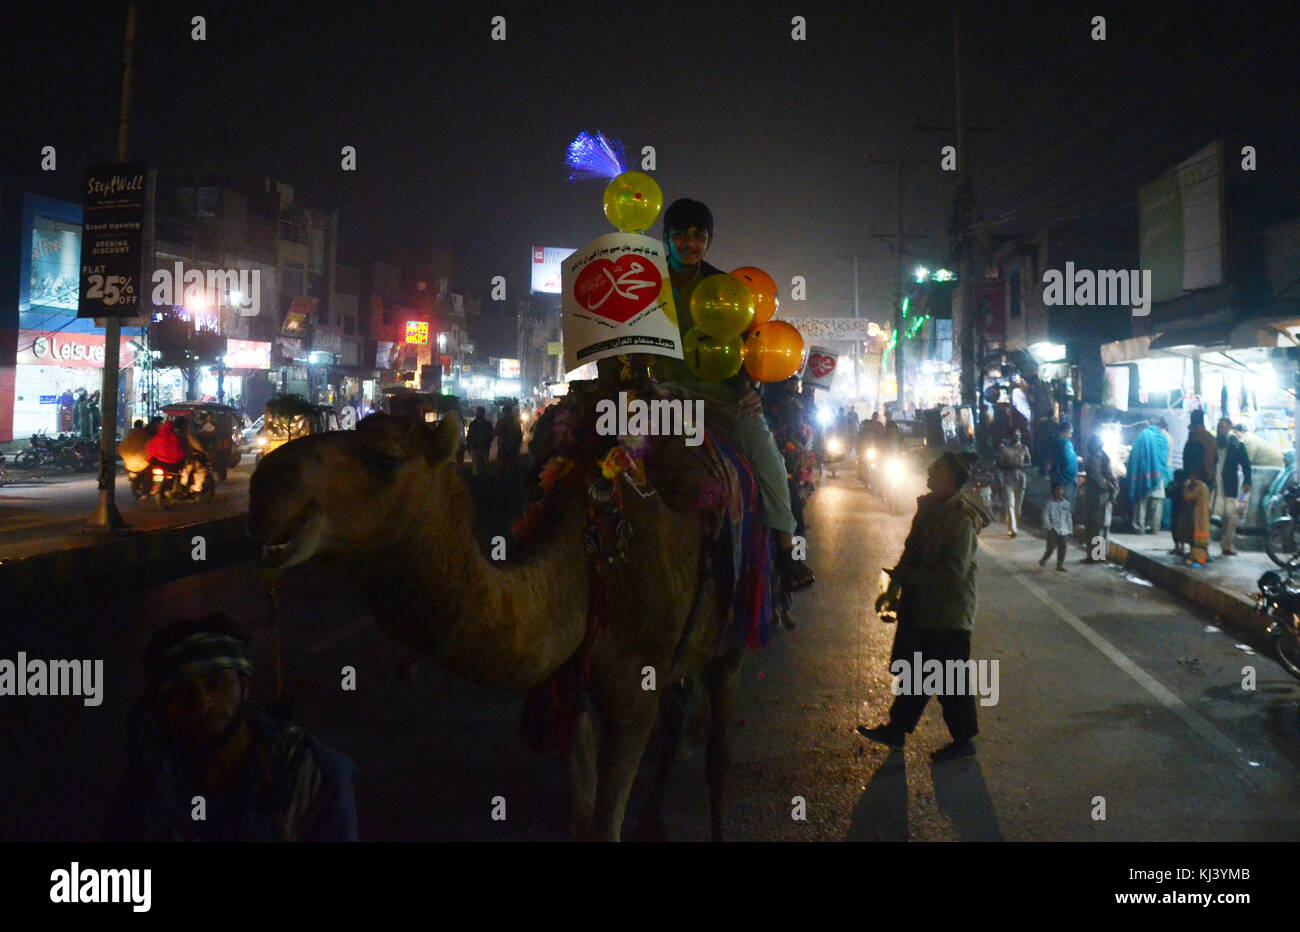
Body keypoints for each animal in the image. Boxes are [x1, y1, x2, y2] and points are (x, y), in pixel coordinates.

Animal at [245, 402, 754, 842]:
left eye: (387, 459)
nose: (264, 485)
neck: (589, 564)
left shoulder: (633, 698)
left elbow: (606, 822)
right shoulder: (567, 683)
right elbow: (584, 817)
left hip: (733, 641)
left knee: (719, 752)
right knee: (680, 709)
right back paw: (654, 819)